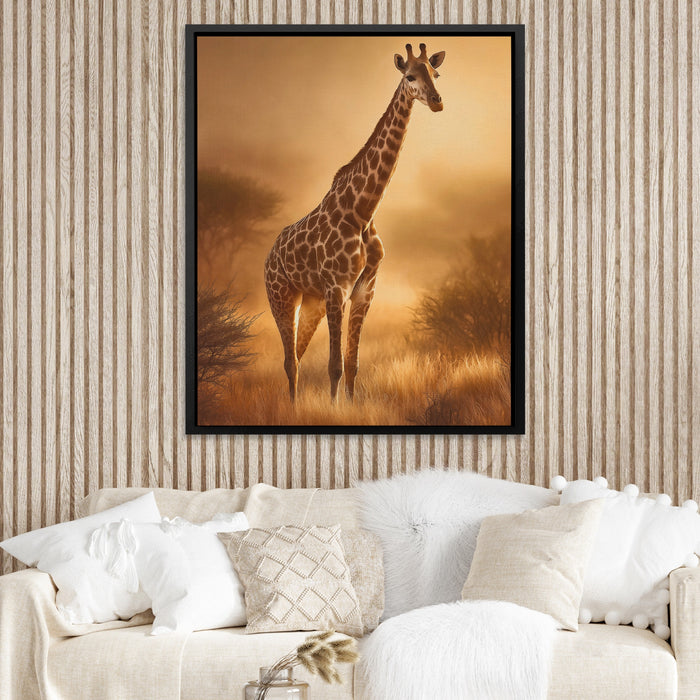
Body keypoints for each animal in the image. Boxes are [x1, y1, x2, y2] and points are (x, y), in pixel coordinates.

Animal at [264, 42, 446, 402]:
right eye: (410, 76)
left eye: (436, 73)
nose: (436, 100)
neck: (362, 211)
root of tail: (269, 256)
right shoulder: (337, 288)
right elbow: (334, 365)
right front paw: (333, 408)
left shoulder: (365, 290)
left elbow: (352, 364)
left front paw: (349, 405)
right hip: (282, 296)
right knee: (290, 361)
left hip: (311, 303)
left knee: (297, 356)